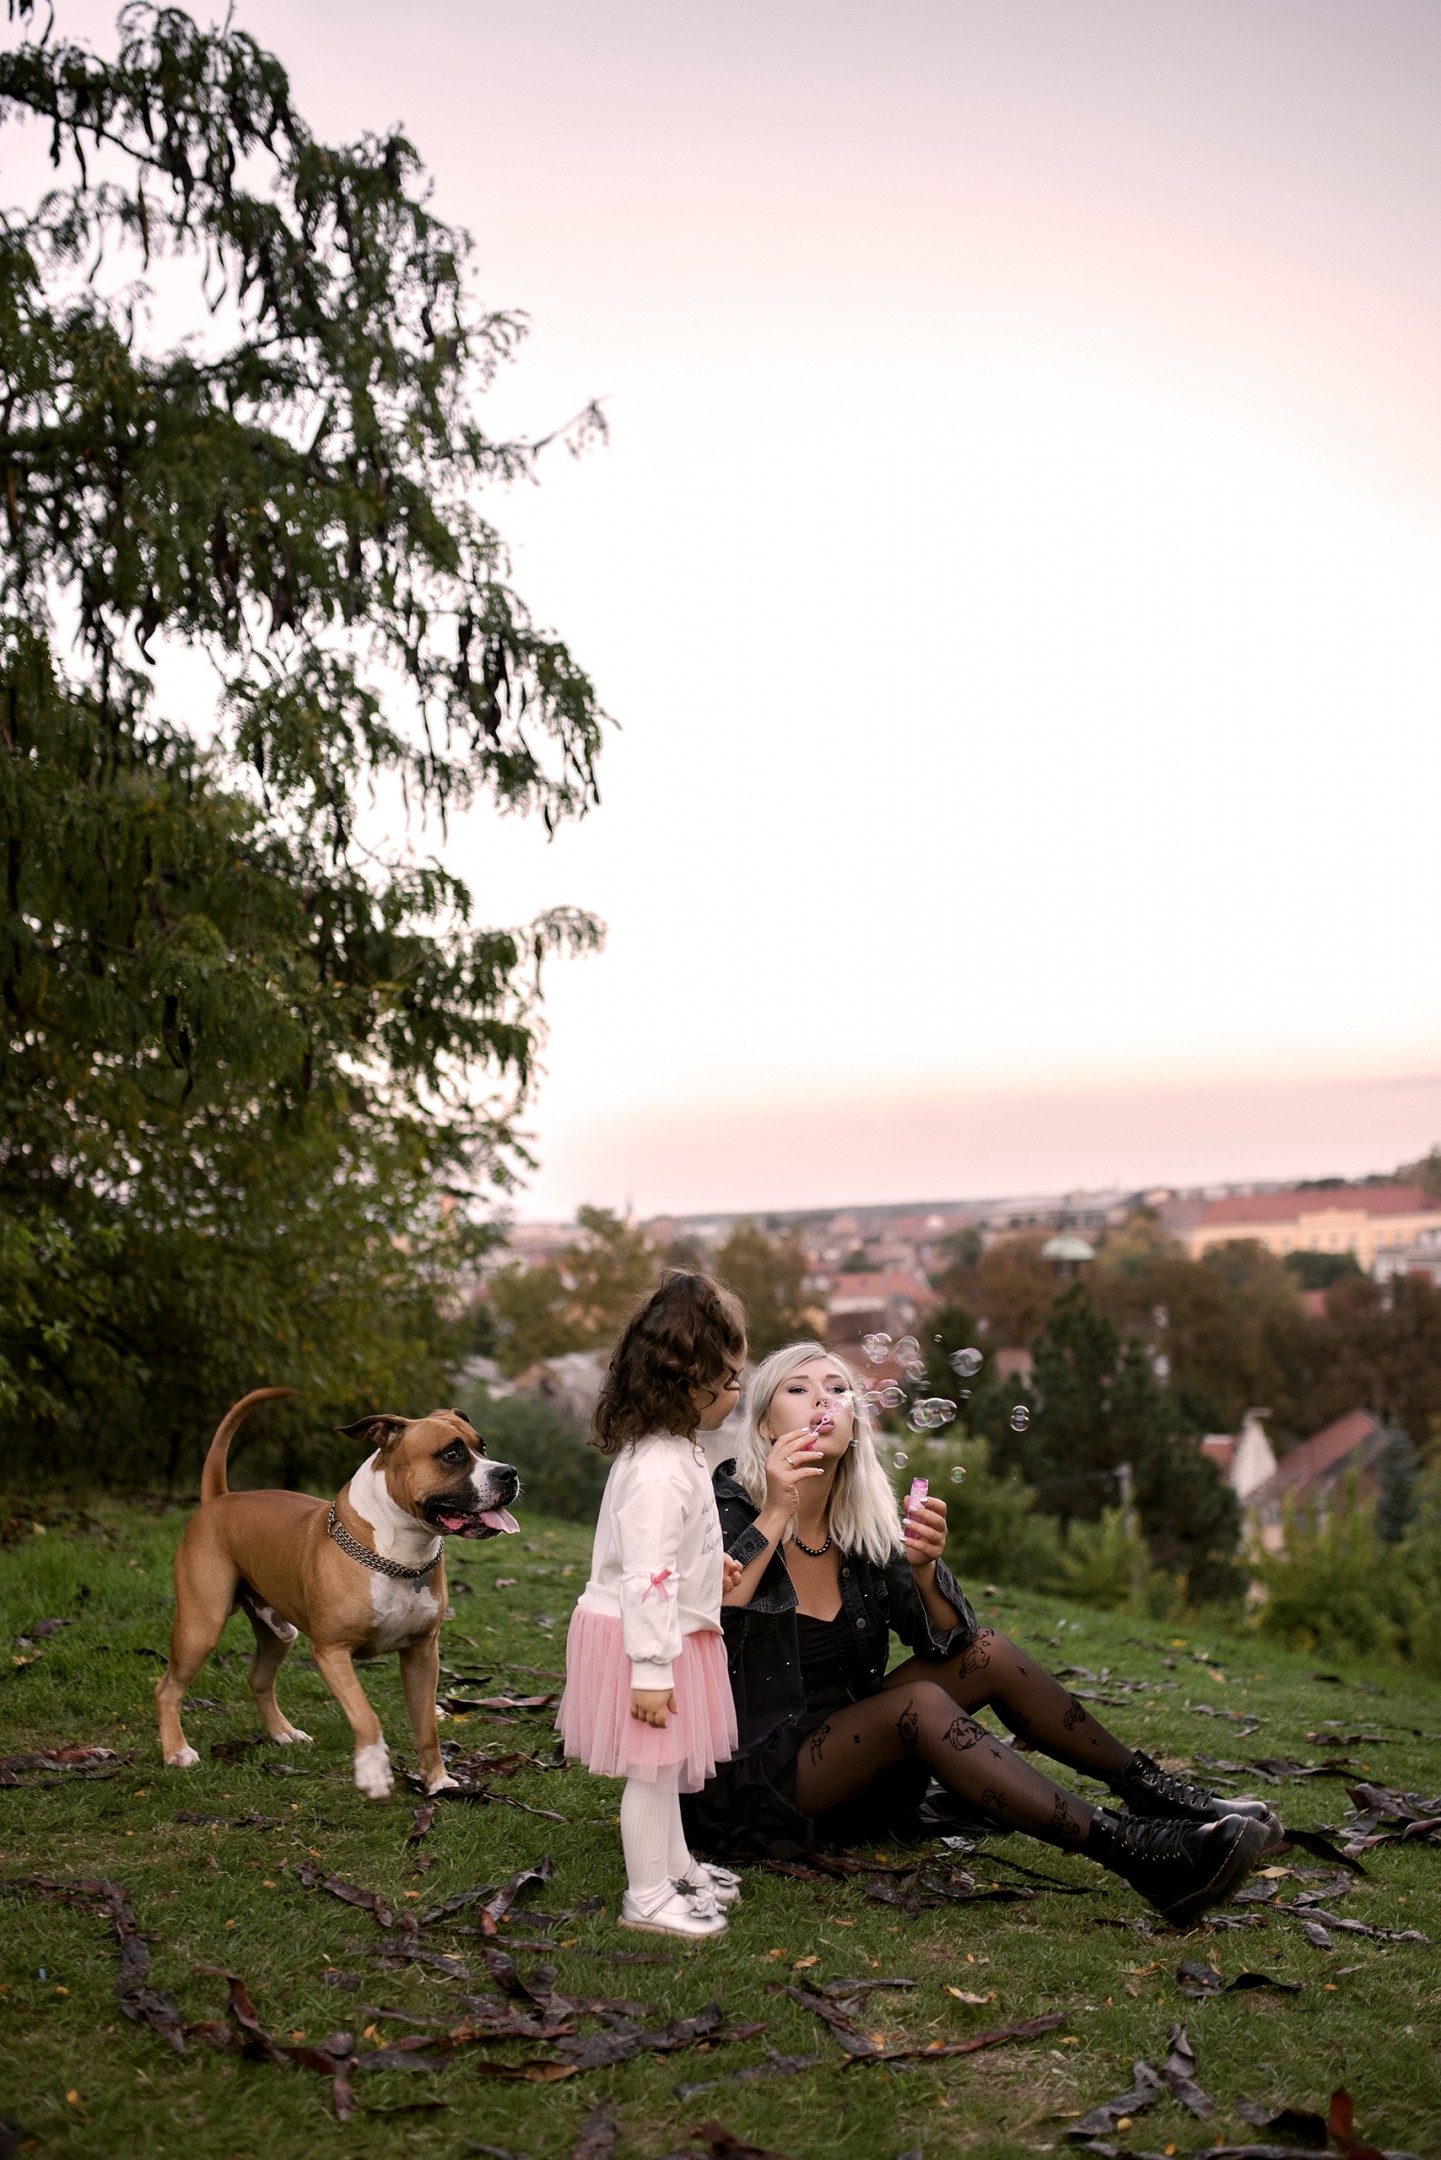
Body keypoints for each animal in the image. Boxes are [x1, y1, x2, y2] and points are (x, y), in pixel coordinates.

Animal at [155, 1389, 520, 1798]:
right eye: (452, 1454)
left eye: (482, 1447)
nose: (508, 1473)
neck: (399, 1557)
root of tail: (219, 1499)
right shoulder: (332, 1653)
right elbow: (365, 1715)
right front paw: (373, 1770)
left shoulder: (423, 1654)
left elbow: (427, 1725)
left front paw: (438, 1780)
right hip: (201, 1627)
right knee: (167, 1688)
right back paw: (177, 1751)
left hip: (279, 1632)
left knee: (259, 1680)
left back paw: (283, 1733)